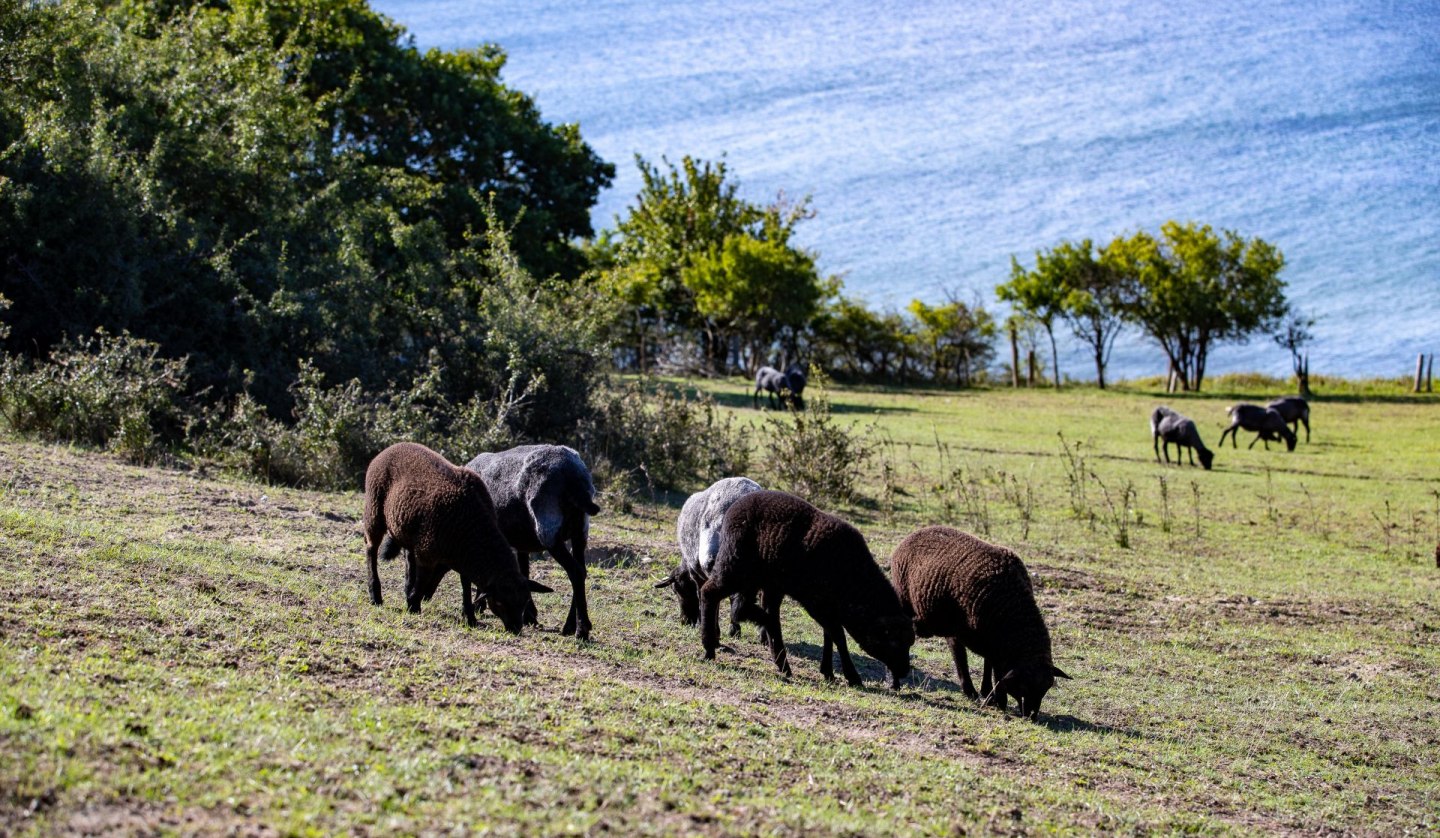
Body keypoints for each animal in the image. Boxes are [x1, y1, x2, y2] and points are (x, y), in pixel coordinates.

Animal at [360, 446, 544, 630]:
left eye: (524, 602)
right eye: (499, 602)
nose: (516, 629)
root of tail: (391, 447)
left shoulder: (462, 556)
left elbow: (466, 584)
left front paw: (469, 617)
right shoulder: (427, 551)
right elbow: (423, 580)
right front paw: (413, 606)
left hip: (405, 528)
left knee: (408, 556)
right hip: (374, 511)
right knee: (371, 549)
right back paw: (376, 596)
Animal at [466, 446, 601, 645]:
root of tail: (573, 476)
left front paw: (479, 604)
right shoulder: (522, 542)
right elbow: (524, 572)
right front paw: (530, 615)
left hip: (548, 528)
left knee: (575, 572)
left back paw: (580, 630)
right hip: (580, 530)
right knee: (581, 570)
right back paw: (571, 625)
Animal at [696, 492, 910, 691]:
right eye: (893, 641)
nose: (904, 671)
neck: (853, 580)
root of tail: (733, 509)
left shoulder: (826, 606)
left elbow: (829, 634)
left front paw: (828, 672)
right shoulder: (816, 602)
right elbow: (838, 635)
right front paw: (852, 677)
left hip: (761, 580)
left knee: (745, 609)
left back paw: (781, 662)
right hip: (736, 565)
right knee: (710, 593)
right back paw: (709, 647)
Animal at [887, 529, 1071, 719]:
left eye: (1046, 688)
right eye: (1024, 686)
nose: (1032, 716)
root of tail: (913, 534)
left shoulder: (990, 639)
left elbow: (989, 664)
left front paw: (989, 694)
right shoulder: (976, 635)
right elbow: (991, 667)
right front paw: (997, 699)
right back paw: (895, 681)